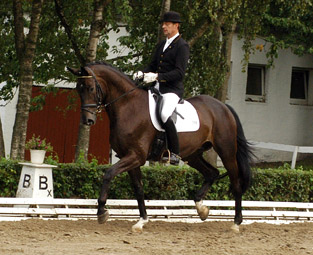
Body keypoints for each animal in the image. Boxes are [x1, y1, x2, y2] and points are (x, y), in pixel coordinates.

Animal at [67, 62, 252, 233]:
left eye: (91, 88)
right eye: (78, 89)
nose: (88, 120)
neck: (128, 106)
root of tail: (223, 106)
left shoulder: (136, 156)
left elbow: (108, 174)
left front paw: (101, 211)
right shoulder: (129, 157)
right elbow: (139, 188)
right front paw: (142, 221)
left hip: (226, 152)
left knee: (235, 182)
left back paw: (236, 223)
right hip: (192, 155)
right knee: (212, 173)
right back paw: (202, 209)